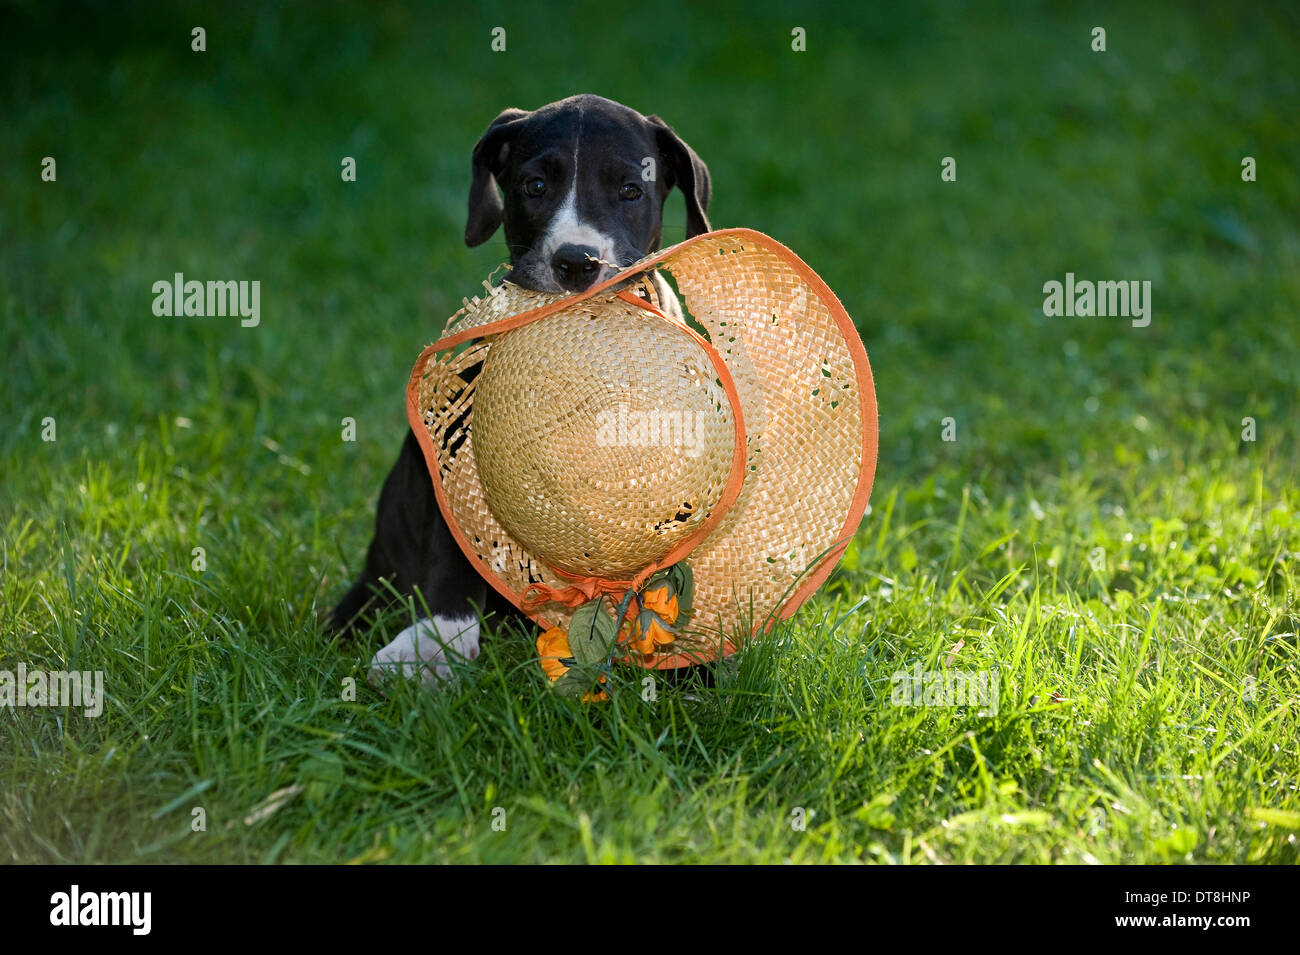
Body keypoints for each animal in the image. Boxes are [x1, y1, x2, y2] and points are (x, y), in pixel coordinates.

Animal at [327, 93, 712, 686]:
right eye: (535, 185)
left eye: (631, 190)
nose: (576, 262)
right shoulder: (458, 451)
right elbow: (453, 550)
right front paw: (434, 643)